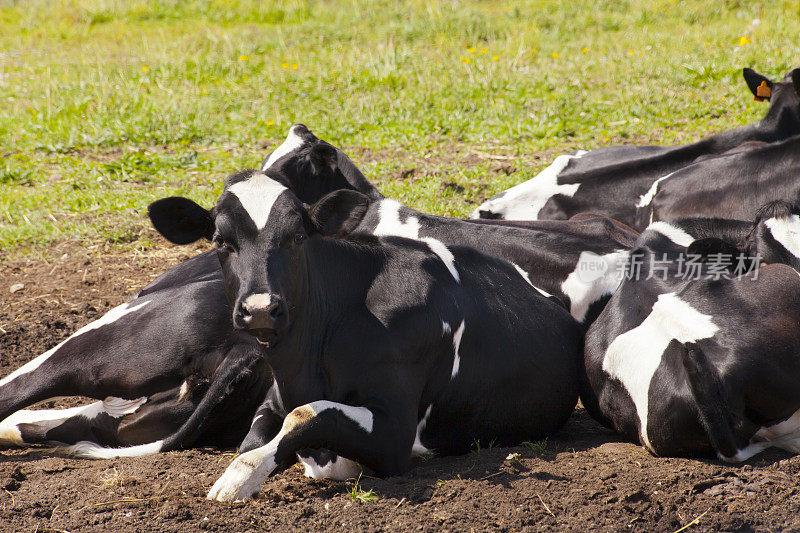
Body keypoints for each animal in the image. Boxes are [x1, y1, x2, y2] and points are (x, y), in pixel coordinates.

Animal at [142, 168, 580, 500]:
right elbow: (257, 438)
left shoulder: (394, 432)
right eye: (220, 241)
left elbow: (308, 417)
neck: (306, 362)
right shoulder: (274, 398)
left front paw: (237, 479)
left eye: (297, 237)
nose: (261, 308)